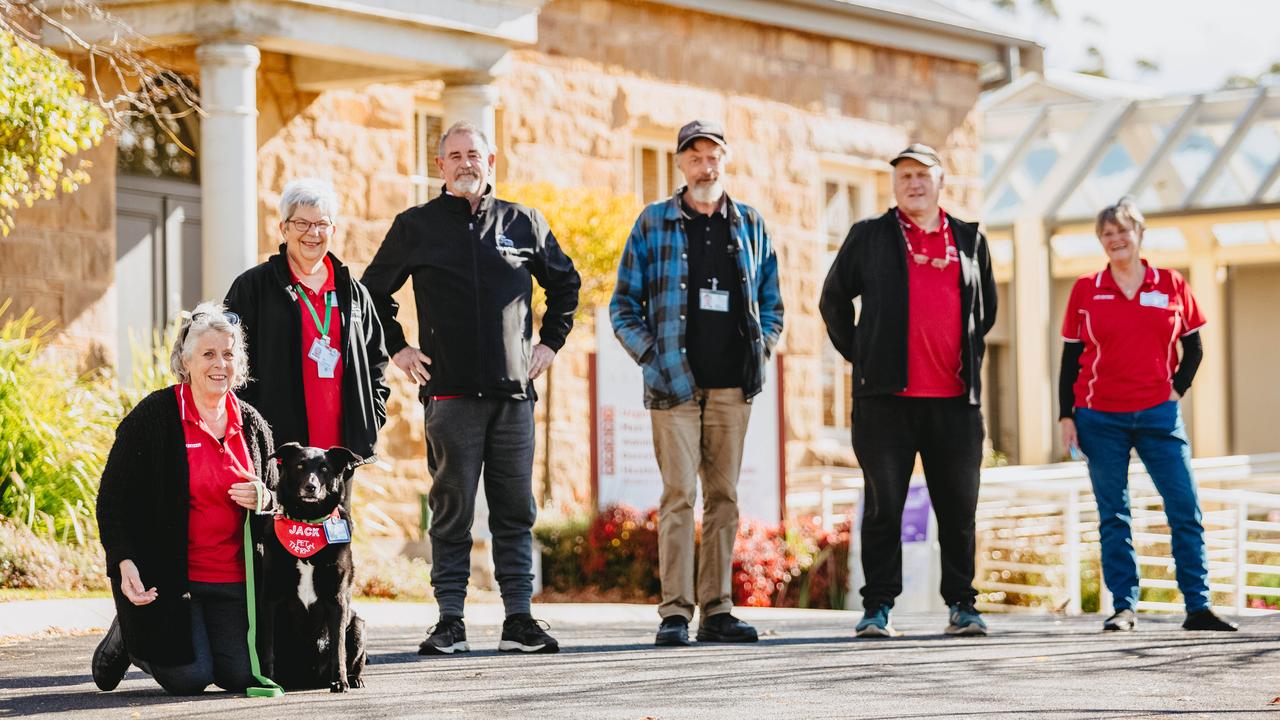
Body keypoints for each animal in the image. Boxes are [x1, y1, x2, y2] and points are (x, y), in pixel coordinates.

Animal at [261, 440, 368, 691]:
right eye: (300, 465)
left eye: (325, 469)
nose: (311, 487)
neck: (307, 524)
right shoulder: (271, 598)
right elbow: (268, 647)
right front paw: (268, 681)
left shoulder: (337, 599)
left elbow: (338, 647)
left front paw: (339, 681)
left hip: (358, 625)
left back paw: (354, 678)